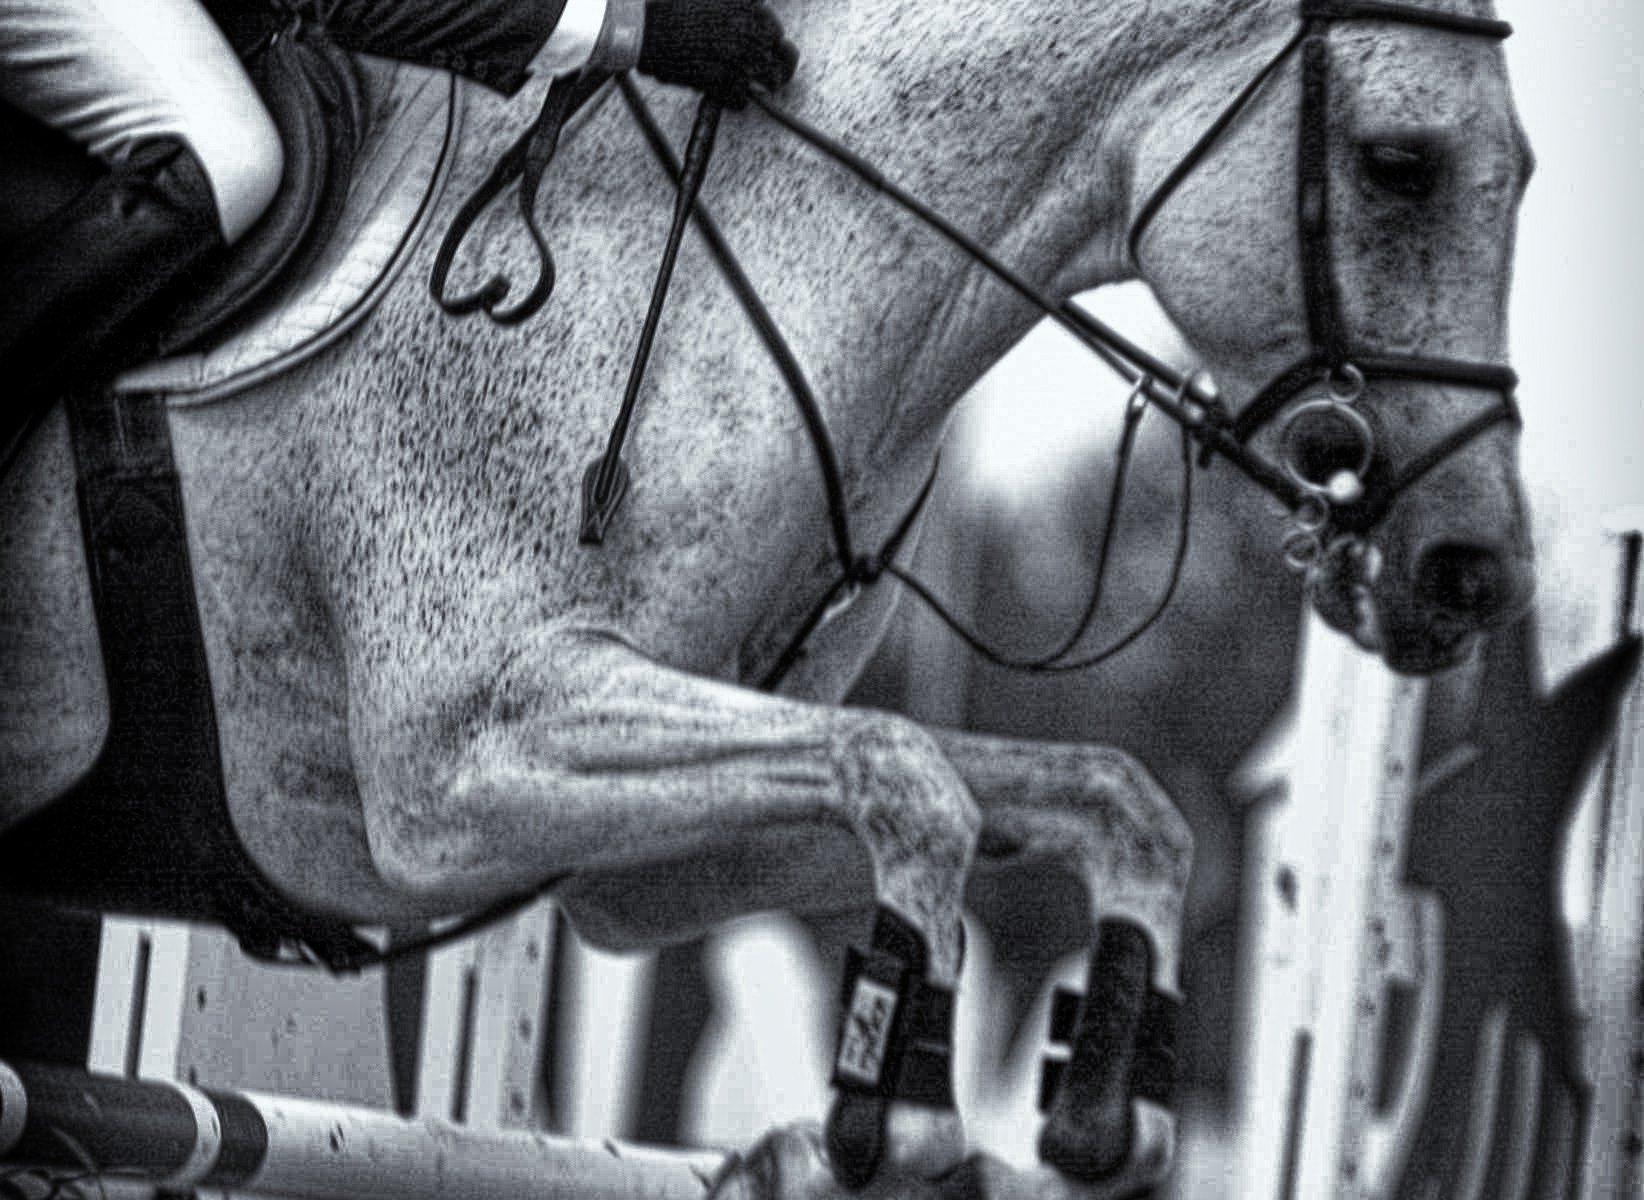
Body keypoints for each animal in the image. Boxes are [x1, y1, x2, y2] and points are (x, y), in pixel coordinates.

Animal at [0, 0, 1534, 1193]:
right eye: (1400, 165)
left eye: (1523, 171)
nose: (1474, 572)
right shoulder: (458, 770)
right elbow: (910, 771)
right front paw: (895, 1117)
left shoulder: (631, 862)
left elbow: (1096, 795)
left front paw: (1097, 1105)